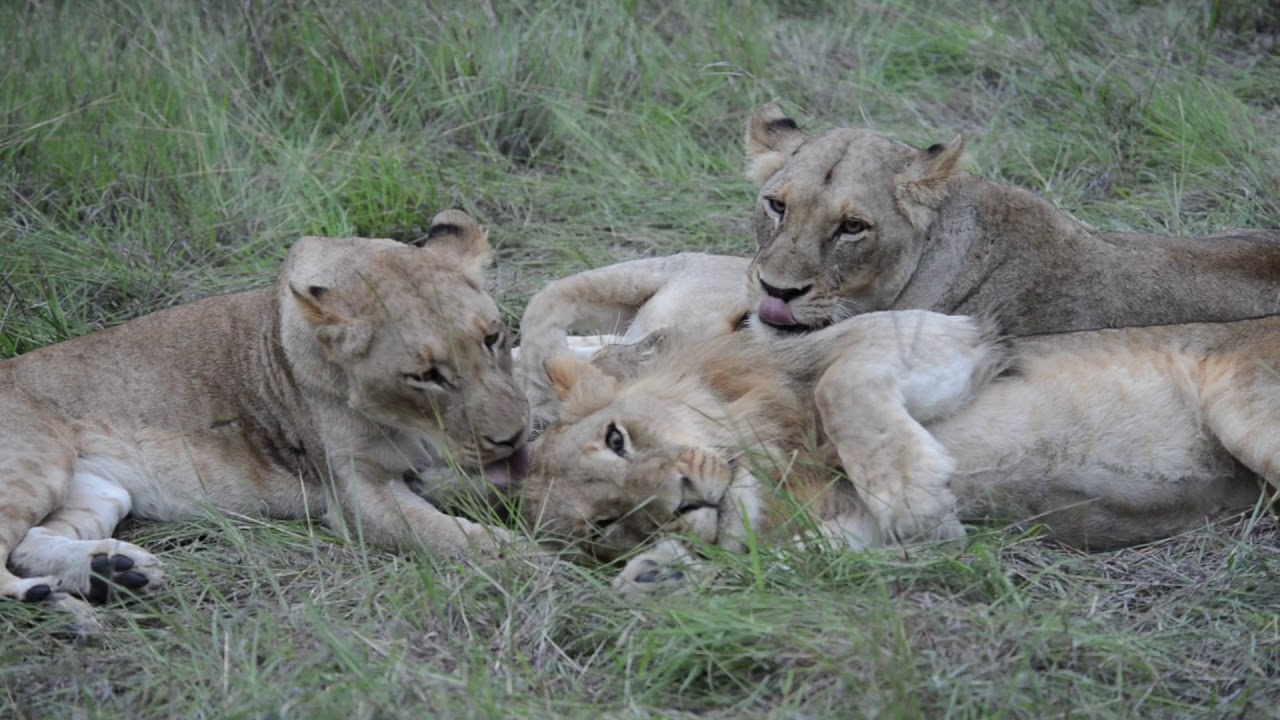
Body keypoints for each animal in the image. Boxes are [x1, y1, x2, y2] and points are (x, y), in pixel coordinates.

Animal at [0, 210, 530, 626]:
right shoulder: (358, 494)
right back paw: (51, 597)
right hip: (37, 463)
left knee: (29, 544)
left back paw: (111, 574)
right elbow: (451, 536)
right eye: (425, 376)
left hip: (99, 492)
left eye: (492, 337)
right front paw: (531, 557)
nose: (513, 437)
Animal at [520, 310, 1279, 596]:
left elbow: (839, 385)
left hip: (1244, 411)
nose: (682, 503)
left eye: (617, 438)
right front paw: (661, 573)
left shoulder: (934, 332)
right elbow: (799, 563)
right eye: (607, 524)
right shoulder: (847, 532)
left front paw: (917, 494)